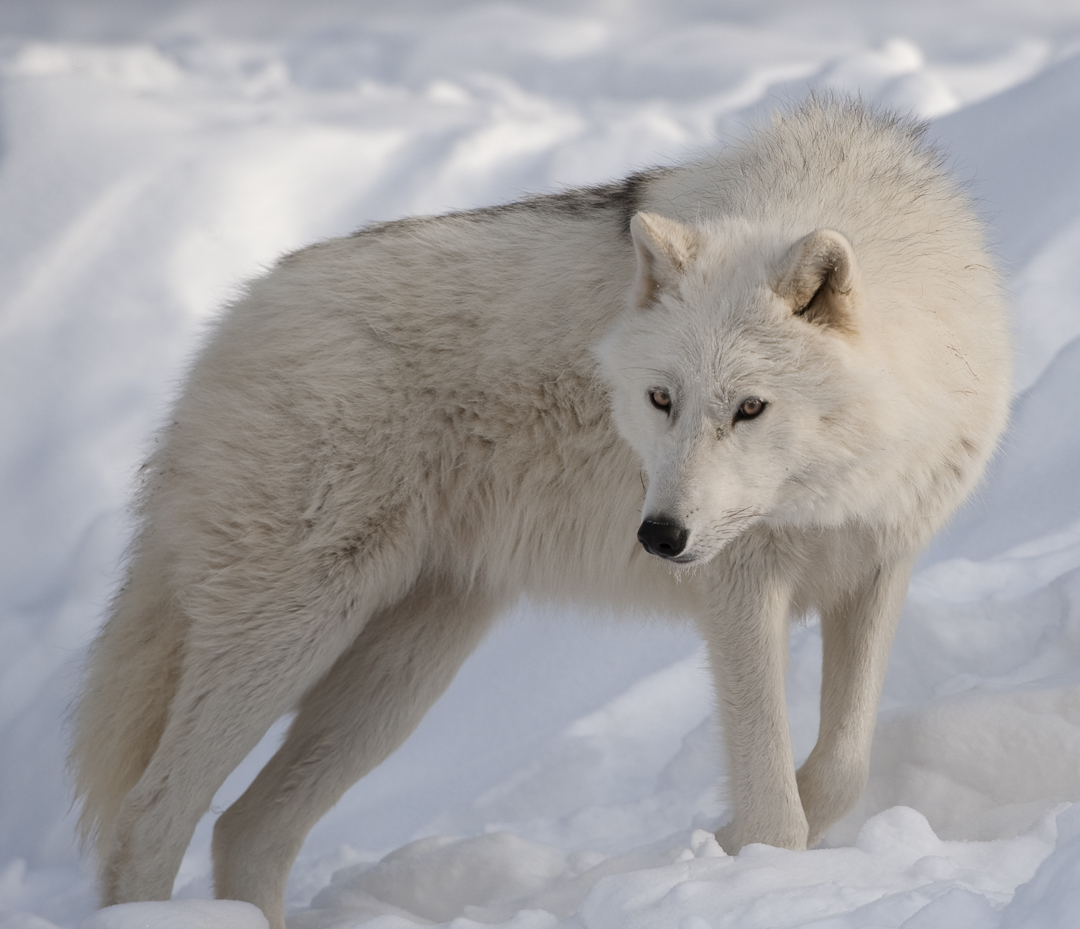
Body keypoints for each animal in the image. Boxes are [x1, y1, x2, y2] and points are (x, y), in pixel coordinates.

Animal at [71, 99, 1010, 928]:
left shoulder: (879, 566)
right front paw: (747, 862)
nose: (658, 535)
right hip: (292, 634)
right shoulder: (740, 595)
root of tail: (230, 323)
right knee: (150, 817)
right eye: (661, 399)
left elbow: (842, 769)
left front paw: (740, 843)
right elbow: (775, 803)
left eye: (750, 408)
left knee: (247, 827)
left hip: (402, 672)